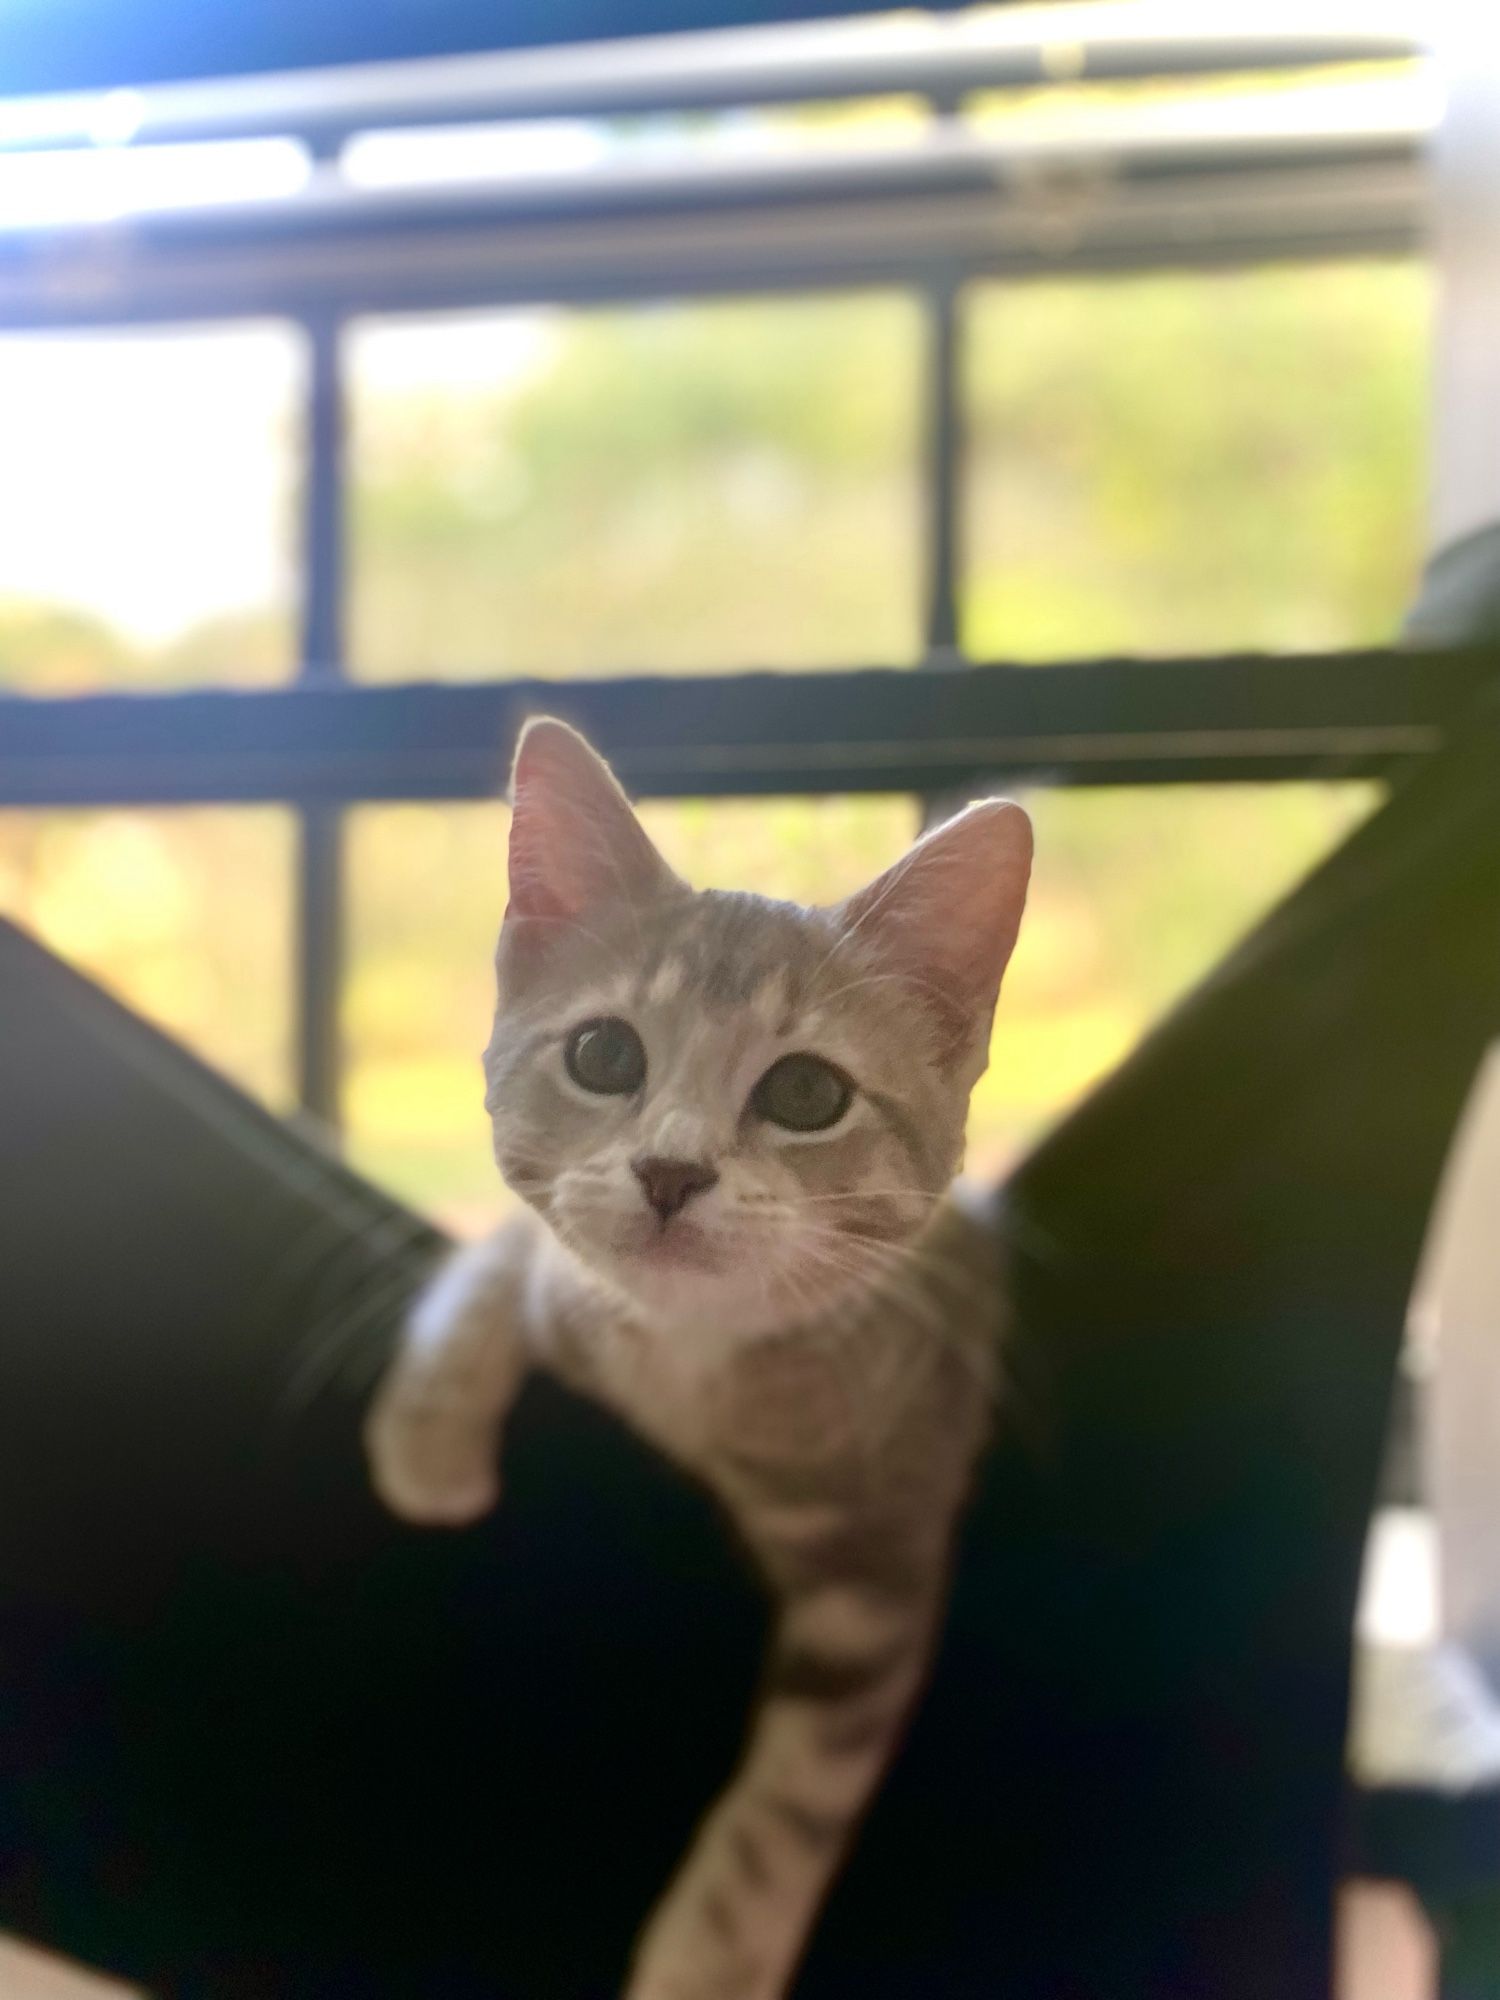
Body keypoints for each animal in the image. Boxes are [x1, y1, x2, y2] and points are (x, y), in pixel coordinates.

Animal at [364, 724, 1032, 2000]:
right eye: (602, 1051)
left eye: (809, 1090)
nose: (669, 1170)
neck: (688, 1358)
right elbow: (514, 1251)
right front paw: (428, 1438)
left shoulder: (880, 1566)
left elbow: (788, 1804)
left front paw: (704, 1963)